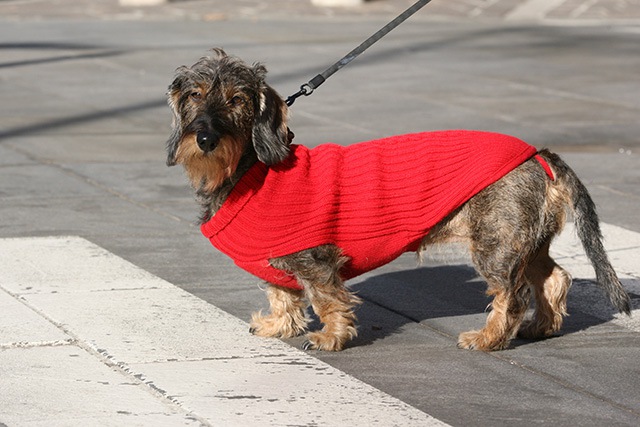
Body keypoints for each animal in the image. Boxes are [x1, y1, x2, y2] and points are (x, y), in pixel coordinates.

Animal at [165, 48, 632, 352]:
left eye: (237, 99)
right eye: (194, 94)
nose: (205, 138)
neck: (251, 173)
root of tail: (538, 154)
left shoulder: (315, 260)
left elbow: (327, 299)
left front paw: (331, 337)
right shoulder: (278, 260)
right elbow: (283, 295)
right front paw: (279, 326)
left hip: (496, 246)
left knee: (511, 295)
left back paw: (488, 339)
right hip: (524, 242)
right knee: (554, 278)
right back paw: (542, 327)